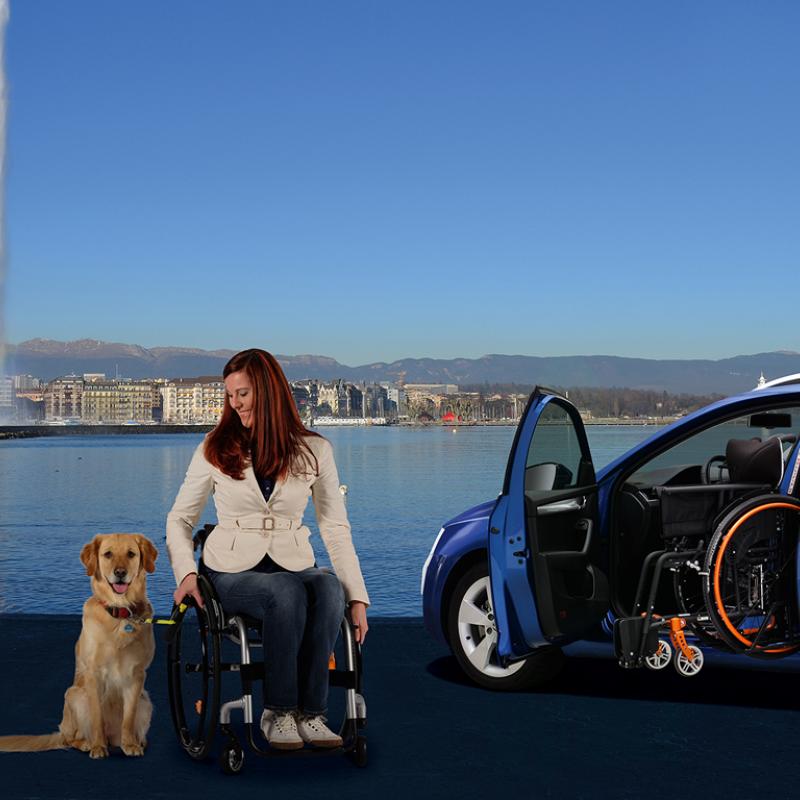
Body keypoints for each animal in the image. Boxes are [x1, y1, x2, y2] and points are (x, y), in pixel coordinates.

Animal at [0, 536, 158, 760]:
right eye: (108, 554)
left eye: (131, 554)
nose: (120, 573)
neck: (120, 614)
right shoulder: (93, 674)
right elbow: (97, 718)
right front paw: (98, 747)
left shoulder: (137, 675)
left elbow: (128, 718)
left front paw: (131, 745)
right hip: (75, 695)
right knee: (71, 738)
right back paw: (87, 743)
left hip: (146, 701)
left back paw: (135, 741)